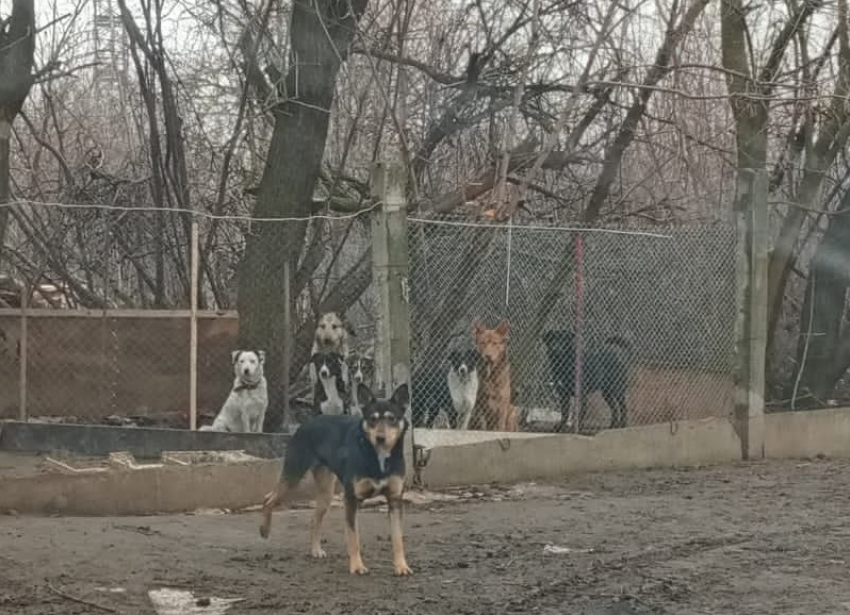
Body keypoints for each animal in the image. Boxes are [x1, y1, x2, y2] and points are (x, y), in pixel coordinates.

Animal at [258, 382, 410, 576]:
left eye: (392, 418)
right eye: (372, 419)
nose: (380, 438)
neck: (378, 456)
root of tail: (309, 421)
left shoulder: (395, 499)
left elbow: (398, 538)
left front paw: (401, 566)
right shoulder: (351, 499)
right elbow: (354, 537)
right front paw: (357, 566)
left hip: (326, 493)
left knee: (314, 519)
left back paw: (315, 550)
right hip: (293, 475)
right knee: (268, 498)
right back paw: (264, 530)